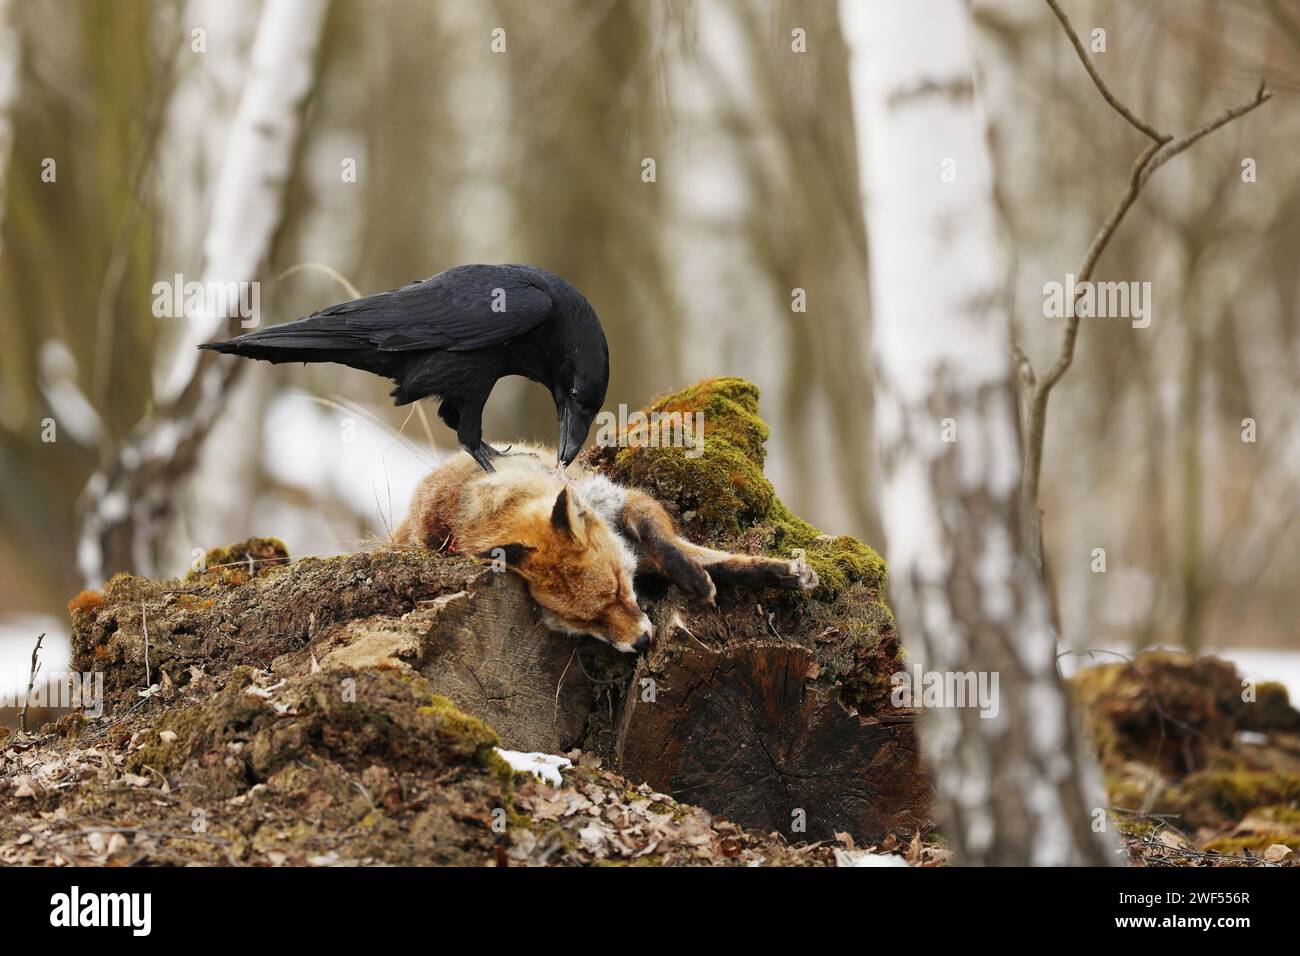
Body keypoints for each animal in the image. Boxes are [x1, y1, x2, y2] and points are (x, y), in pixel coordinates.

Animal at [393, 443, 818, 653]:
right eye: (584, 622)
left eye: (617, 589)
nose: (642, 643)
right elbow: (705, 561)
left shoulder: (621, 501)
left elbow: (678, 548)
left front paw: (778, 572)